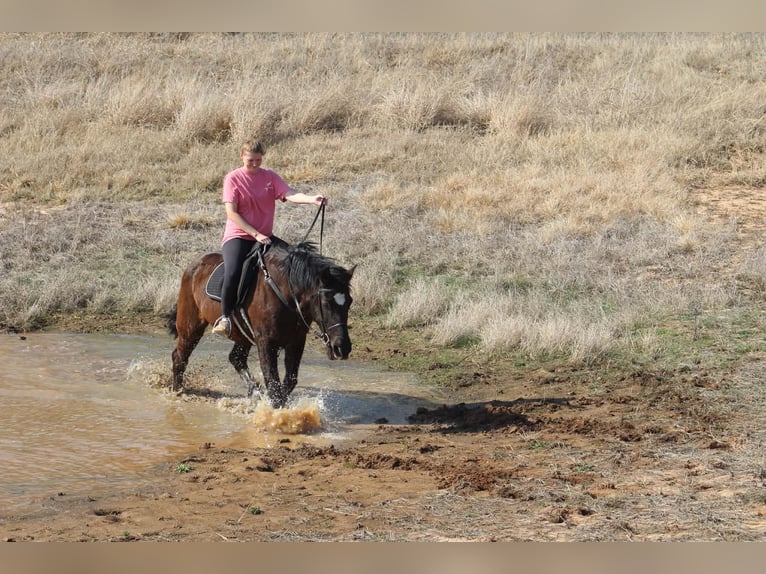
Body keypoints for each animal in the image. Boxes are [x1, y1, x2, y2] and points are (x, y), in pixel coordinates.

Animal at [165, 237, 354, 408]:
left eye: (350, 302)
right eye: (326, 303)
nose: (342, 348)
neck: (285, 293)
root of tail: (194, 265)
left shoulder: (296, 341)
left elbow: (289, 381)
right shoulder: (266, 341)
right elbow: (273, 383)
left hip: (242, 334)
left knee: (236, 358)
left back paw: (254, 390)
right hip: (190, 326)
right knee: (180, 357)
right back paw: (178, 392)